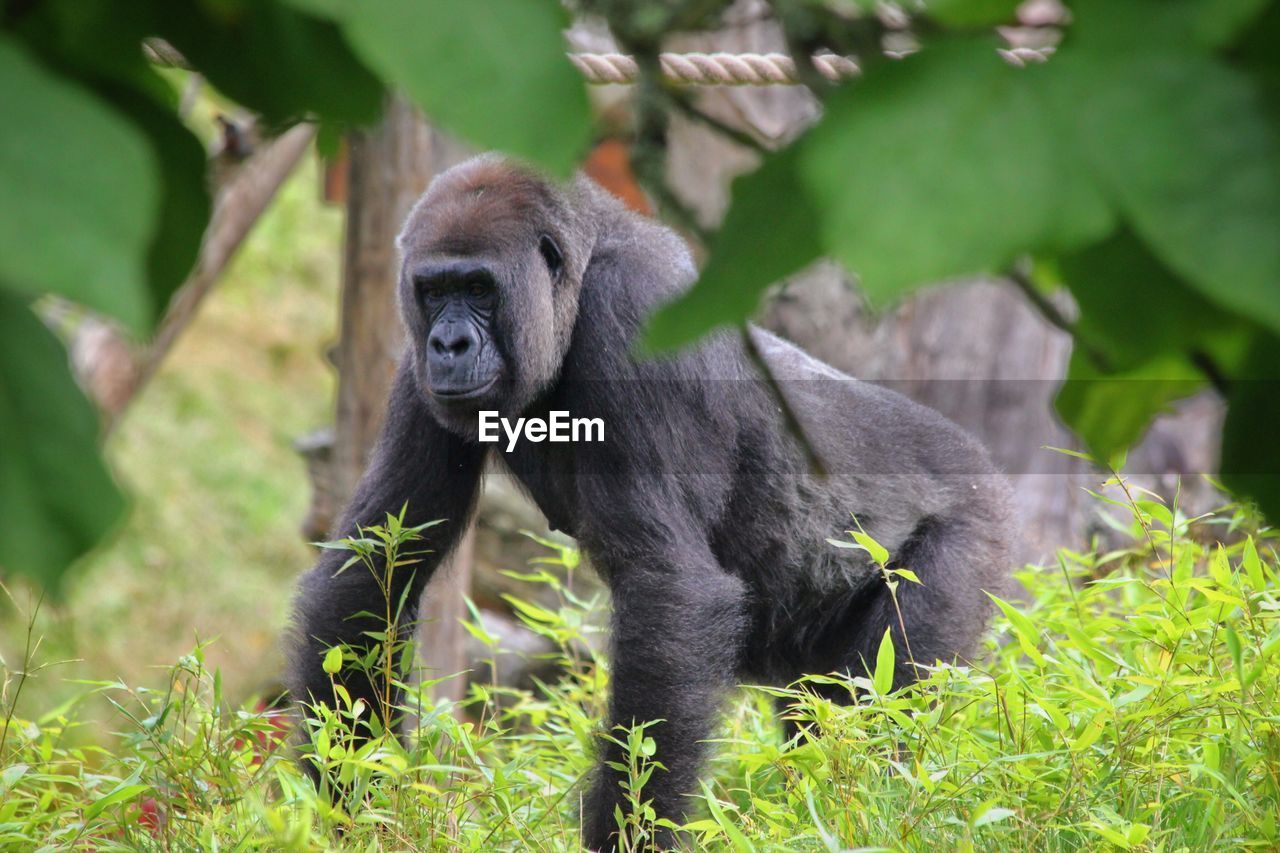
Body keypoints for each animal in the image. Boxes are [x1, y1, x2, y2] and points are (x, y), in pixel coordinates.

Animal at [288, 151, 1008, 845]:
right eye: (434, 290)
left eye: (479, 289)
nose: (449, 342)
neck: (581, 274)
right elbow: (374, 566)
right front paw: (352, 808)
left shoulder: (630, 313)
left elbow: (670, 591)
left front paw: (630, 834)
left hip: (973, 526)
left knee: (888, 706)